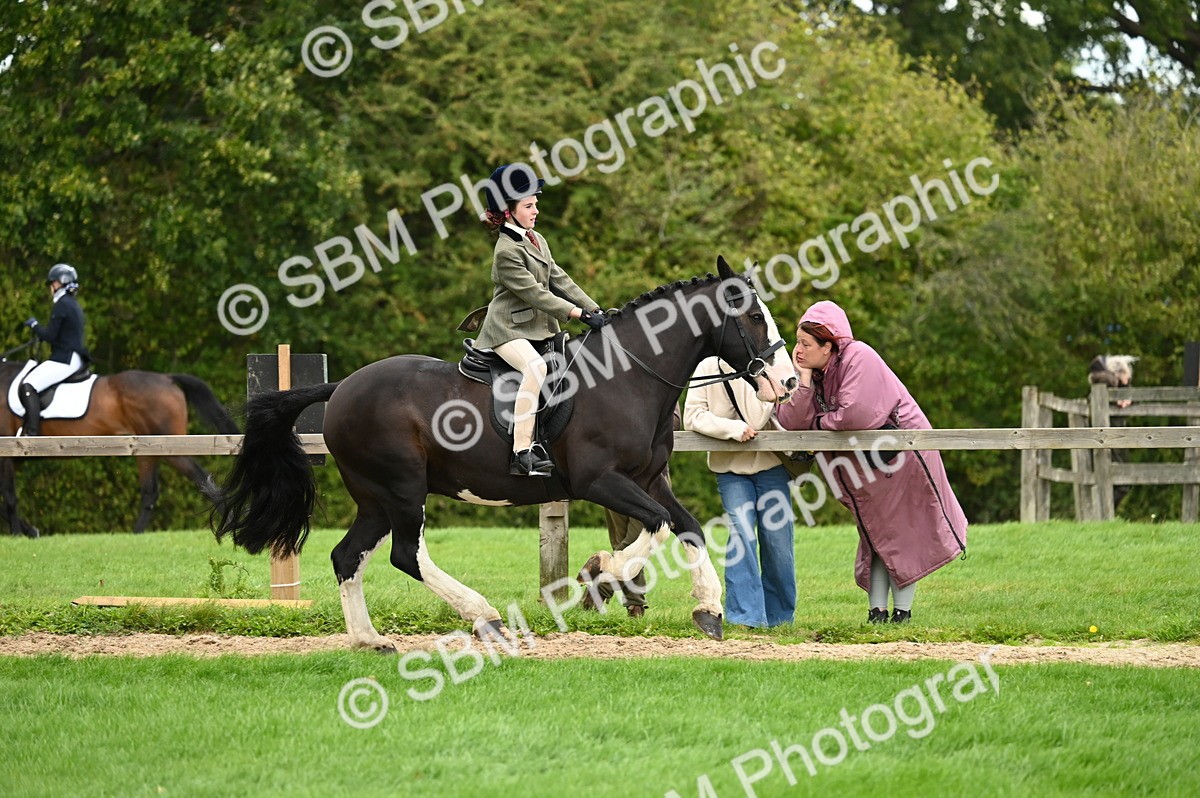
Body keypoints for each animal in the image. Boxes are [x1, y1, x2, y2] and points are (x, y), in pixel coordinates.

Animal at [1, 360, 239, 537]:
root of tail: (167, 378)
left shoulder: (7, 456)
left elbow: (9, 496)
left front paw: (17, 534)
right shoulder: (14, 457)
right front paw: (30, 531)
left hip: (171, 448)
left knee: (198, 476)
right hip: (149, 450)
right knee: (150, 491)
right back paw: (137, 534)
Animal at [210, 257, 797, 650]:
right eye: (752, 317)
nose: (789, 381)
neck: (628, 375)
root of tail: (342, 389)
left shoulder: (650, 479)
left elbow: (685, 527)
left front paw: (708, 609)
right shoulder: (600, 481)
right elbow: (652, 527)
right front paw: (600, 574)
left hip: (377, 499)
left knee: (348, 556)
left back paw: (369, 640)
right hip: (401, 488)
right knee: (404, 554)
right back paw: (485, 617)